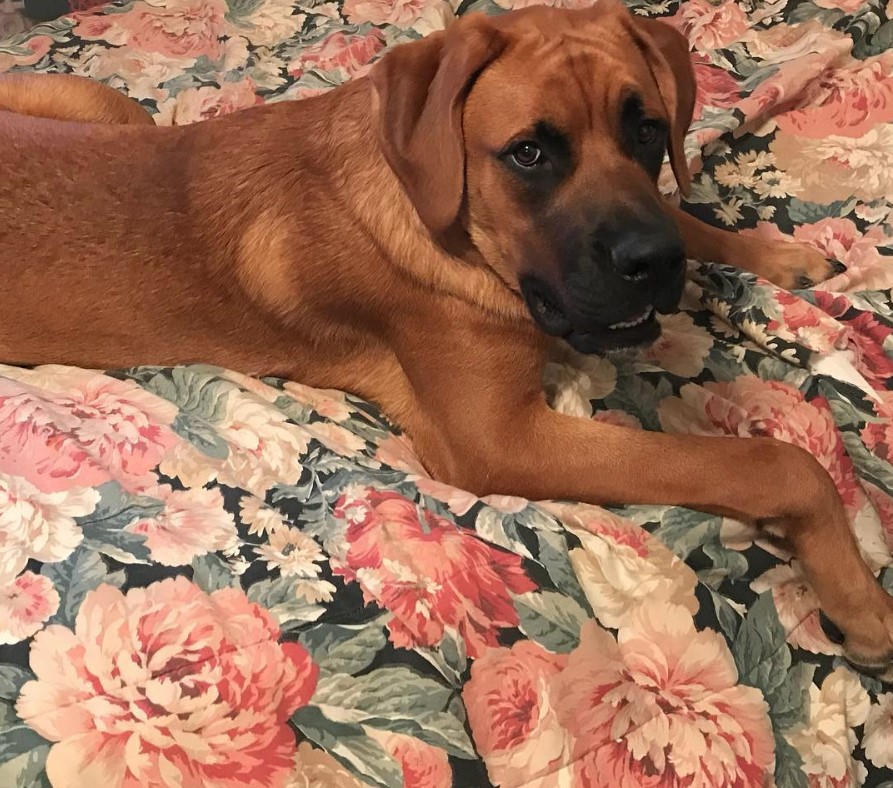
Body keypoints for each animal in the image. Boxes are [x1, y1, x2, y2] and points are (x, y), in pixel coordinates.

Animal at [3, 0, 888, 676]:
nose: (651, 266)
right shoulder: (501, 440)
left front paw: (774, 255)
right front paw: (858, 596)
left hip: (108, 110)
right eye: (528, 153)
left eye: (645, 129)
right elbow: (768, 462)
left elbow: (679, 210)